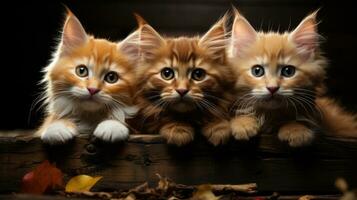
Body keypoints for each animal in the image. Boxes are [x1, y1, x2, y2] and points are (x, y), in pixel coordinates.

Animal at [36, 10, 138, 144]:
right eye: (81, 71)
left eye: (111, 78)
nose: (93, 89)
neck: (89, 118)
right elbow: (51, 121)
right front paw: (57, 128)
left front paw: (112, 126)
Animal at [132, 15, 235, 146]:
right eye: (167, 74)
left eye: (198, 74)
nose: (182, 90)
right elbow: (163, 118)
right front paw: (177, 129)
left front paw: (218, 126)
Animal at [227, 9, 356, 146]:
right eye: (257, 71)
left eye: (288, 71)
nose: (272, 88)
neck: (269, 116)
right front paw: (243, 123)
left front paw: (295, 129)